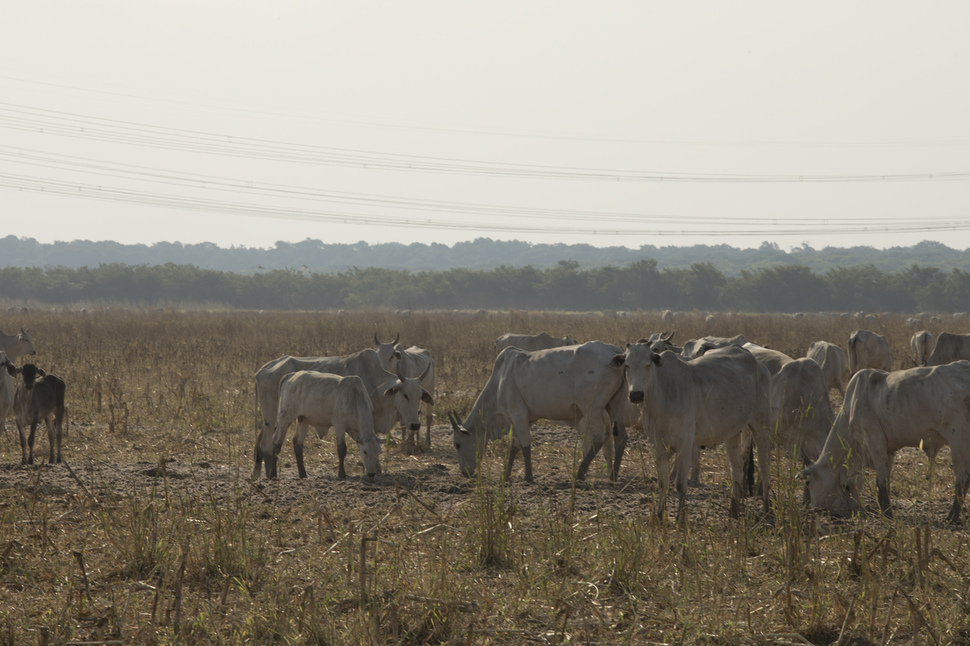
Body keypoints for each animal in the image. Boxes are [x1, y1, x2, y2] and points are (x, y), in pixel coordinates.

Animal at [251, 350, 430, 480]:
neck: (376, 381)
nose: (415, 424)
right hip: (274, 416)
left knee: (284, 443)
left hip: (298, 419)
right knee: (268, 443)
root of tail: (262, 370)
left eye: (420, 395)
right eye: (405, 395)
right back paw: (270, 474)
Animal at [448, 342, 624, 484]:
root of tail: (612, 350)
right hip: (613, 405)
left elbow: (525, 446)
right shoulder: (522, 419)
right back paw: (613, 475)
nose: (464, 473)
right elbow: (514, 446)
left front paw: (528, 476)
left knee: (600, 435)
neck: (499, 380)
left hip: (591, 408)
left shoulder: (518, 414)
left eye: (458, 444)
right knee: (619, 437)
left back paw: (579, 474)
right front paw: (506, 475)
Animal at [616, 344, 768, 520]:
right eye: (626, 365)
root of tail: (756, 361)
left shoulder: (685, 442)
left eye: (648, 365)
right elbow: (663, 482)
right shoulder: (657, 443)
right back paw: (733, 510)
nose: (636, 395)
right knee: (737, 468)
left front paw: (679, 518)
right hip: (733, 433)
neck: (662, 393)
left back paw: (767, 509)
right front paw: (660, 515)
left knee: (764, 466)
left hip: (761, 426)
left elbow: (680, 484)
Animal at [796, 364, 968, 528]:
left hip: (958, 440)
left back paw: (951, 517)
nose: (816, 509)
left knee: (962, 480)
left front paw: (887, 513)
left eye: (808, 483)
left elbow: (881, 481)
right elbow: (885, 480)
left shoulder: (874, 441)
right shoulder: (888, 450)